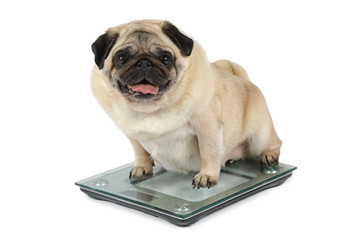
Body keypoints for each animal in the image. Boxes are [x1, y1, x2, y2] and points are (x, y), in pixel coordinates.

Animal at [90, 19, 282, 188]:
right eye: (121, 58)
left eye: (165, 58)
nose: (144, 63)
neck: (151, 108)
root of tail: (244, 80)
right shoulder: (133, 134)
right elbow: (140, 152)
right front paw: (142, 168)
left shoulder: (207, 127)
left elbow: (209, 153)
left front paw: (206, 176)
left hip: (260, 136)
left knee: (274, 144)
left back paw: (269, 156)